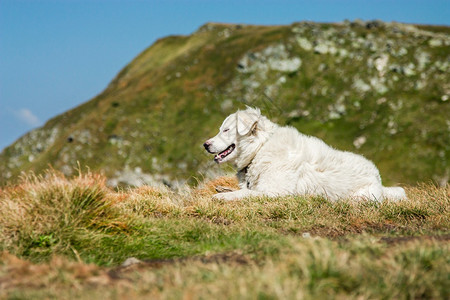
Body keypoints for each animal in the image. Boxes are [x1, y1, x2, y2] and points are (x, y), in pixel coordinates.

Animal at [202, 106, 406, 202]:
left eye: (226, 130)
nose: (205, 144)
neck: (260, 149)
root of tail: (378, 179)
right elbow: (243, 190)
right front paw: (223, 189)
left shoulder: (276, 192)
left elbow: (246, 194)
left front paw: (221, 197)